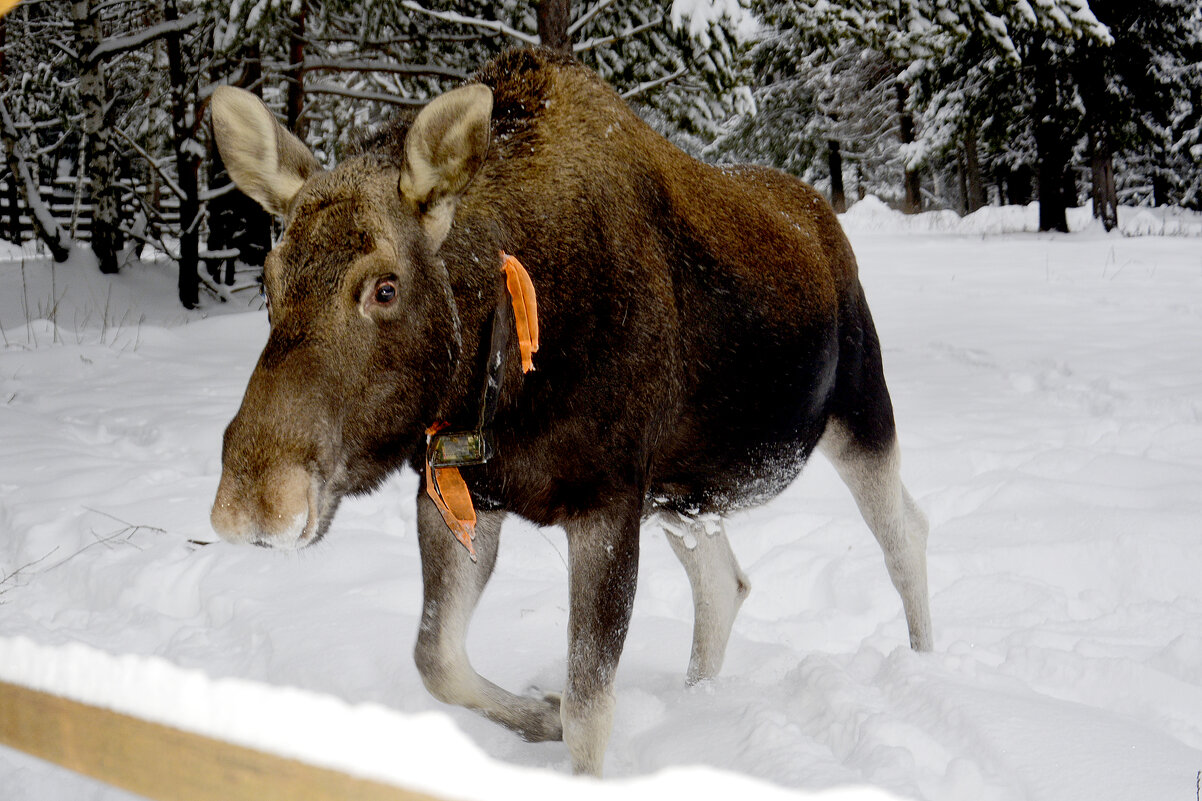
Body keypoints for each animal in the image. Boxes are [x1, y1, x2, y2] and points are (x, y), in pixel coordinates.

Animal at [211, 48, 932, 774]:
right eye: (270, 281)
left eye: (385, 287)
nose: (251, 505)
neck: (504, 375)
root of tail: (825, 216)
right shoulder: (462, 494)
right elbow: (436, 660)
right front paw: (541, 716)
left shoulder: (604, 502)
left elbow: (589, 711)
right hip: (680, 495)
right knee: (724, 582)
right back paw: (697, 698)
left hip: (859, 410)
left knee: (904, 534)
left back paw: (924, 664)